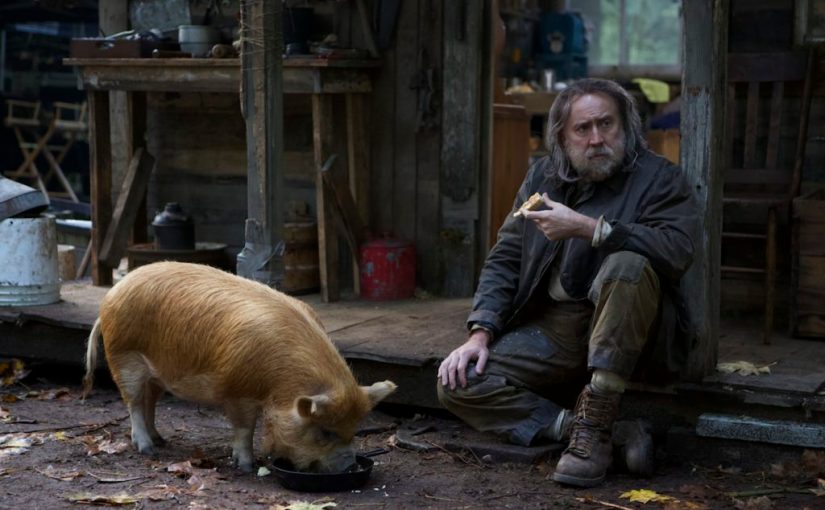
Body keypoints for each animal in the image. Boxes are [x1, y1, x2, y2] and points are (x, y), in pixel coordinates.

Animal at [82, 261, 396, 473]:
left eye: (354, 430)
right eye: (326, 431)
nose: (349, 466)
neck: (279, 384)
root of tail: (110, 295)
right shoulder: (236, 390)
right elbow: (245, 427)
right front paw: (246, 466)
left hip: (156, 374)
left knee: (150, 402)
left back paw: (161, 441)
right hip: (124, 357)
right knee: (133, 403)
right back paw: (147, 449)